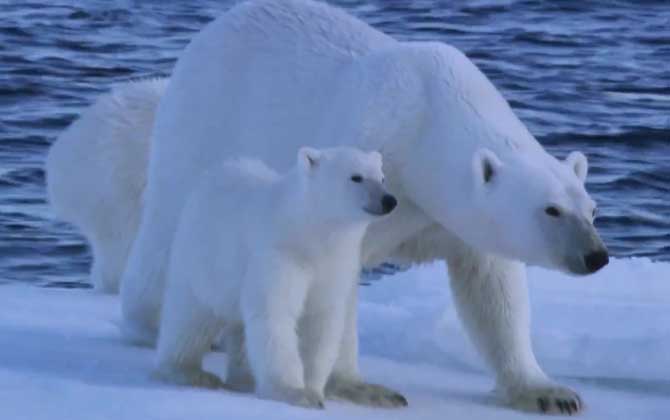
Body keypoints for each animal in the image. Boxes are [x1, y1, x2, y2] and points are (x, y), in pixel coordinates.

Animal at [156, 148, 400, 410]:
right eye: (356, 177)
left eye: (382, 177)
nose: (389, 200)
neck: (310, 233)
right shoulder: (279, 255)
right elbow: (275, 313)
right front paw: (294, 392)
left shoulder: (333, 267)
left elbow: (322, 322)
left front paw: (313, 389)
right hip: (201, 262)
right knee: (189, 319)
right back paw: (187, 371)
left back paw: (243, 379)